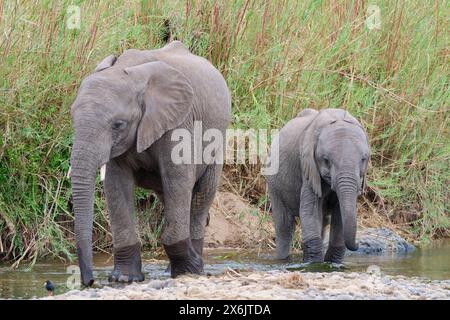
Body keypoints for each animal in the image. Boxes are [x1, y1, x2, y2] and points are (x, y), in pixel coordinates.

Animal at [71, 41, 232, 286]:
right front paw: (124, 278)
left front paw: (190, 269)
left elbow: (178, 179)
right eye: (72, 118)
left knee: (199, 196)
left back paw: (192, 268)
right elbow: (116, 185)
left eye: (118, 125)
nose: (88, 282)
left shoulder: (179, 122)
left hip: (217, 142)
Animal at [268, 109, 370, 264]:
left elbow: (339, 214)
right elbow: (310, 211)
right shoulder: (308, 168)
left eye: (364, 159)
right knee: (284, 226)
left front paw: (333, 263)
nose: (358, 244)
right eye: (326, 160)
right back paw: (283, 260)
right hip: (274, 183)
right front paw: (314, 264)